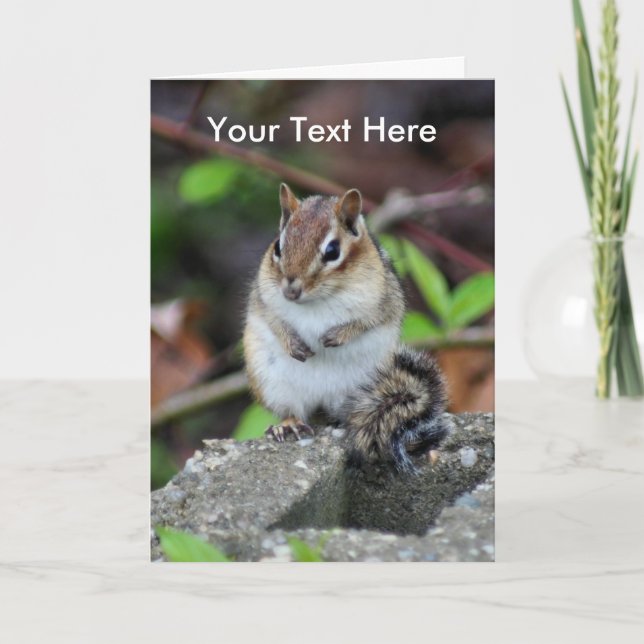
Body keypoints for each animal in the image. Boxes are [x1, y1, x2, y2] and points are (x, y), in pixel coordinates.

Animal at [243, 183, 451, 473]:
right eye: (278, 247)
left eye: (332, 251)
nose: (291, 290)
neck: (317, 301)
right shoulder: (263, 298)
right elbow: (274, 320)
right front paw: (292, 342)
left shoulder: (384, 301)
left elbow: (368, 320)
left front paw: (337, 336)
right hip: (273, 383)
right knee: (292, 410)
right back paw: (289, 425)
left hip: (367, 385)